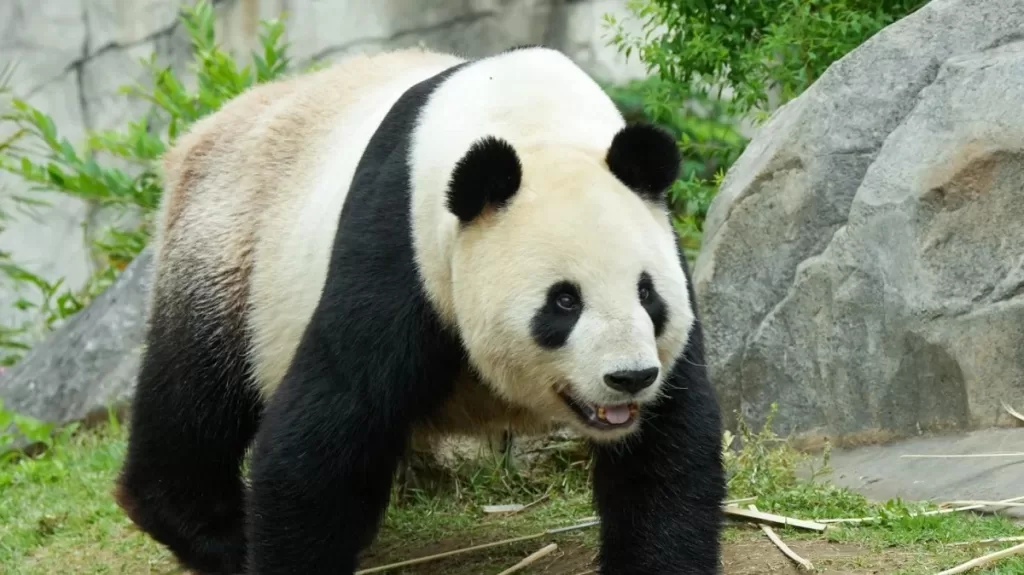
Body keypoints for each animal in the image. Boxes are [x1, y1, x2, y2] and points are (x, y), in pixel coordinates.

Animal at [114, 46, 725, 574]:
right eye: (564, 301)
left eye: (647, 294)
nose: (630, 377)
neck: (535, 129)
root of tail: (199, 135)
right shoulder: (402, 247)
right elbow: (321, 435)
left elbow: (667, 450)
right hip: (228, 250)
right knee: (196, 396)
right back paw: (214, 533)